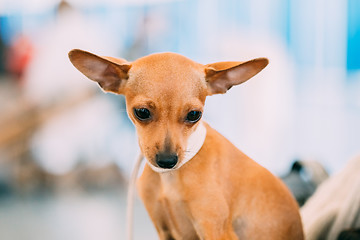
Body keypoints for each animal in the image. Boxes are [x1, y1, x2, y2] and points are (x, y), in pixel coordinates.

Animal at [68, 49, 304, 239]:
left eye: (194, 115)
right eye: (141, 112)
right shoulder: (164, 231)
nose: (167, 160)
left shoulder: (216, 231)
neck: (169, 179)